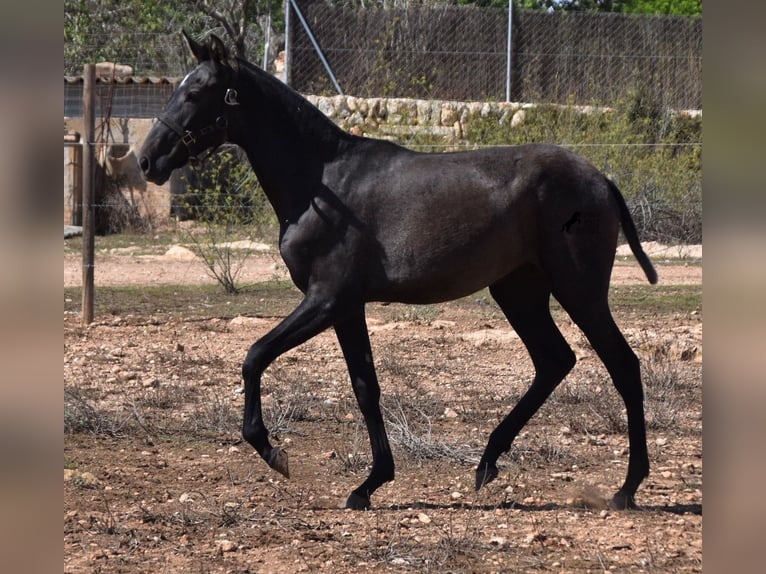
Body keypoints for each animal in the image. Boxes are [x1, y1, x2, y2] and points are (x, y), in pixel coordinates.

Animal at [139, 31, 658, 511]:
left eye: (195, 92)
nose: (147, 160)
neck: (321, 182)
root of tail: (600, 179)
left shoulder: (325, 299)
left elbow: (254, 356)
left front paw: (273, 452)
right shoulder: (347, 308)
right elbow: (365, 387)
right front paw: (369, 484)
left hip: (578, 290)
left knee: (622, 365)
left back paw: (627, 487)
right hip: (519, 292)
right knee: (554, 361)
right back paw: (488, 462)